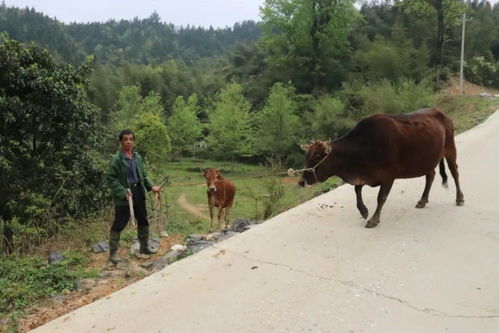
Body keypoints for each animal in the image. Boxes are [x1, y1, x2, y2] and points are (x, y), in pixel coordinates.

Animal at [296, 107, 464, 227]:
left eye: (317, 157)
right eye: (306, 156)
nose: (301, 181)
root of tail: (440, 113)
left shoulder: (389, 176)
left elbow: (381, 197)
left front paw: (373, 219)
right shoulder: (365, 175)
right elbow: (357, 190)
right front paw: (364, 211)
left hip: (450, 147)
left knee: (454, 172)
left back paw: (459, 198)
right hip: (428, 158)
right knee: (431, 175)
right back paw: (422, 200)